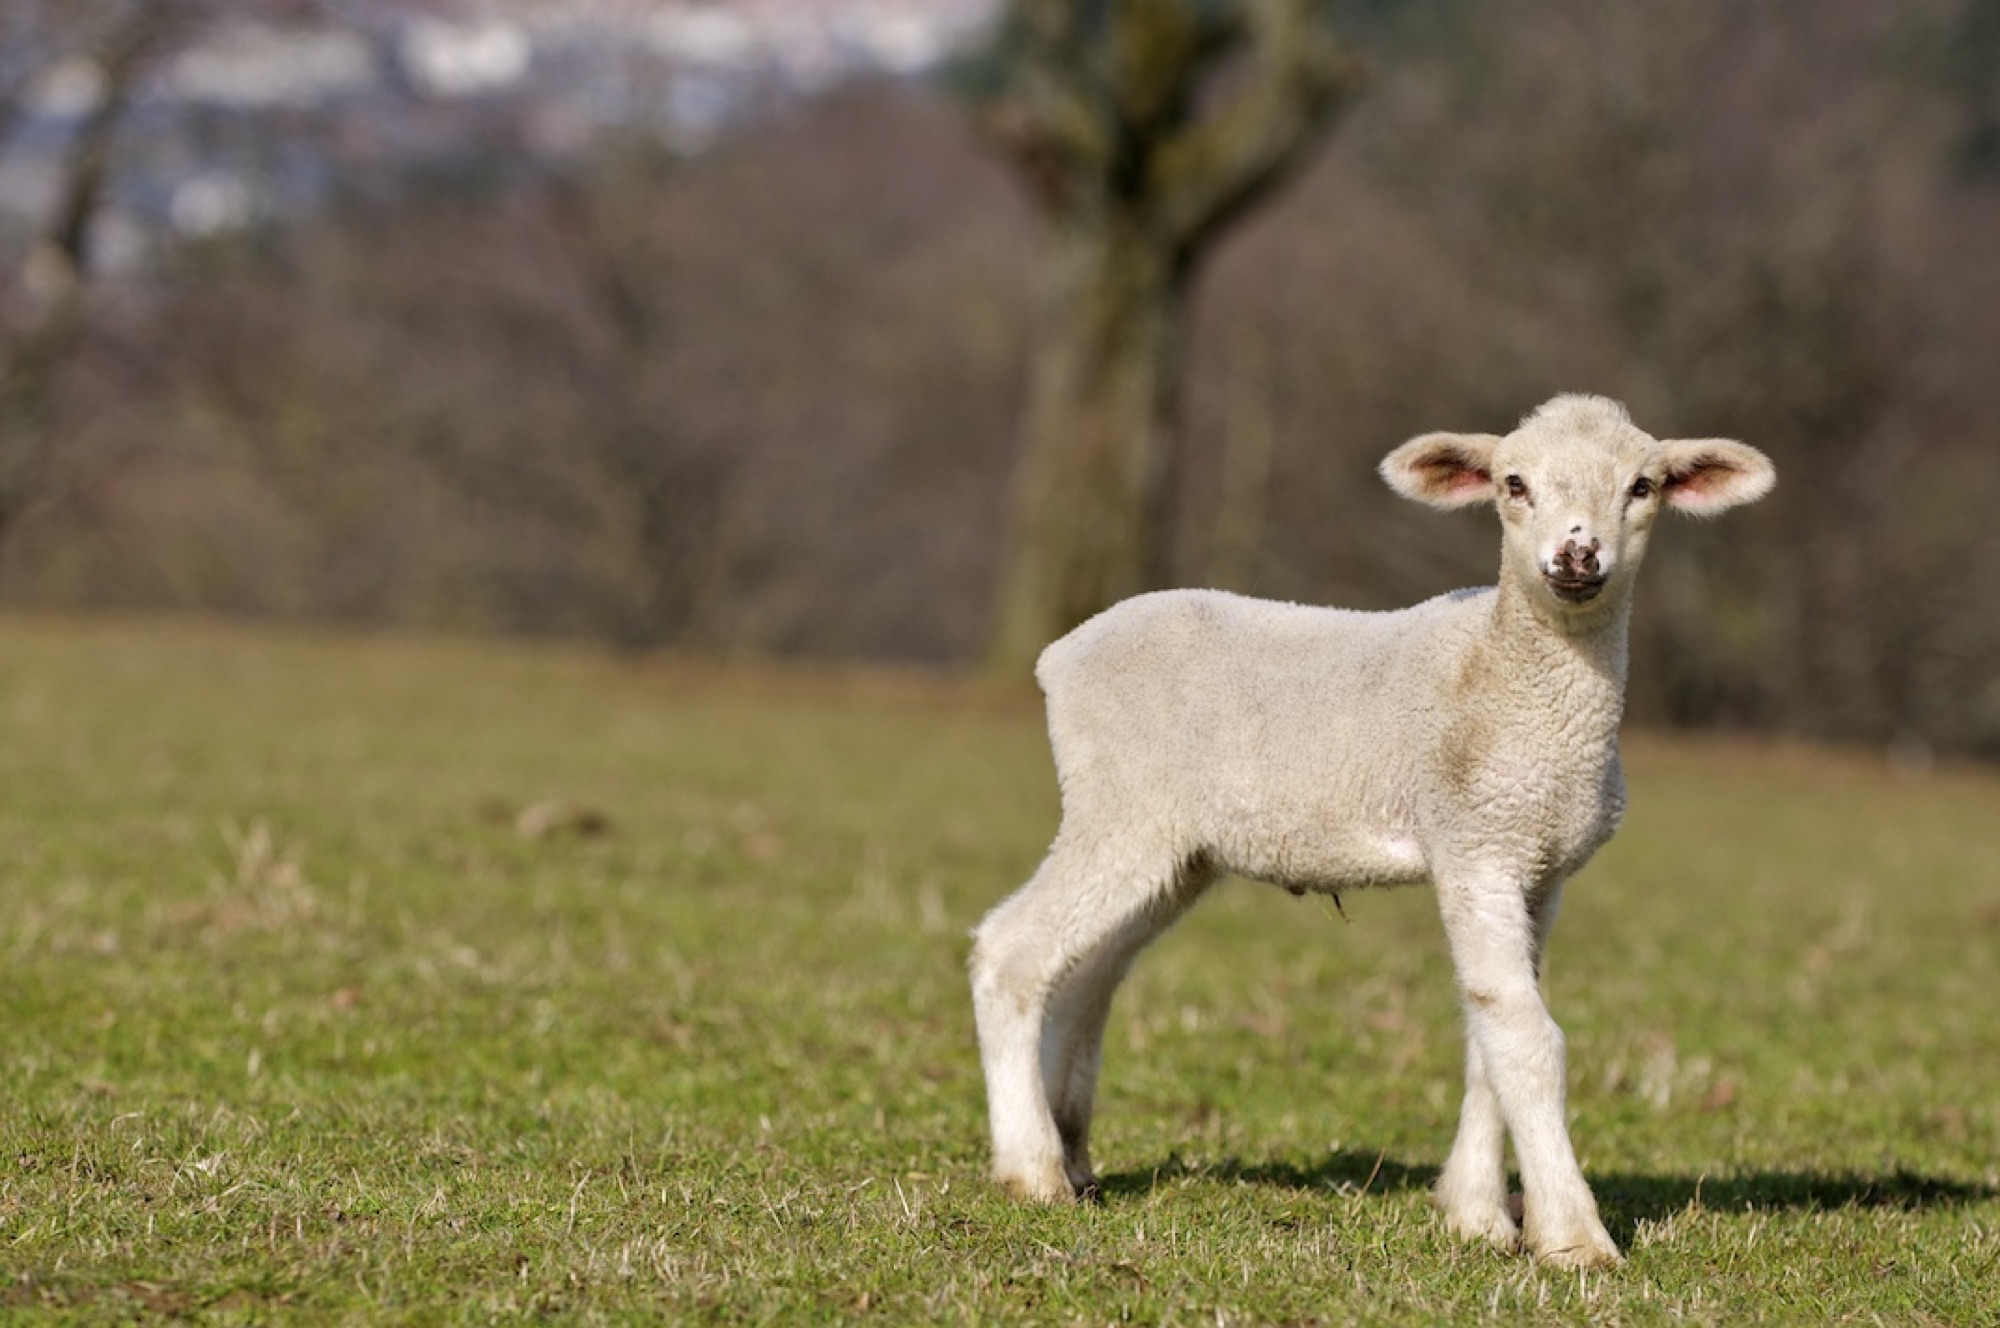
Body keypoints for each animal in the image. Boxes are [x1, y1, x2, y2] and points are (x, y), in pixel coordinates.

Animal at [968, 393, 1775, 1270]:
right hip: (1121, 806)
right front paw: (1573, 1238)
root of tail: (1059, 656)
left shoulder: (1540, 868)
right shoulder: (1474, 842)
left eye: (1642, 486)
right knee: (1012, 951)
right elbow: (1524, 1035)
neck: (1510, 670)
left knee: (1085, 974)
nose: (1576, 556)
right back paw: (1031, 1169)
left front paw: (1477, 1215)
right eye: (1513, 483)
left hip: (1174, 848)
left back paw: (1072, 1153)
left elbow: (1489, 1034)